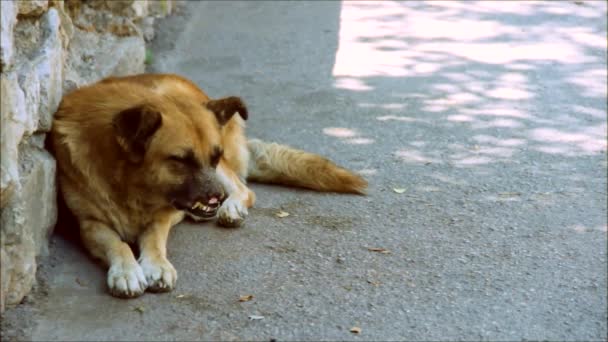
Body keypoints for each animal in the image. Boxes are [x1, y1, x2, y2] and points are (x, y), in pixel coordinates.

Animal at [51, 74, 366, 296]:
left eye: (212, 157)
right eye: (181, 160)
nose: (217, 199)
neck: (126, 181)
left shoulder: (162, 214)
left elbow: (153, 238)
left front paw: (156, 265)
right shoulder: (89, 224)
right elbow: (117, 244)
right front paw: (127, 271)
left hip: (224, 169)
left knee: (244, 188)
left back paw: (233, 208)